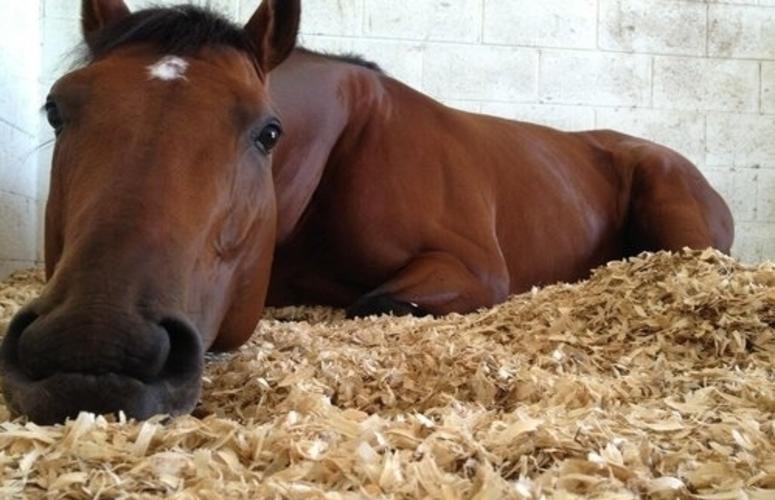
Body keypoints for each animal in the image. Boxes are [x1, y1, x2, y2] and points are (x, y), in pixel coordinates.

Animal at [1, 0, 732, 426]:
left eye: (267, 131)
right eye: (56, 108)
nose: (92, 347)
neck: (342, 148)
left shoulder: (469, 270)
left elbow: (371, 304)